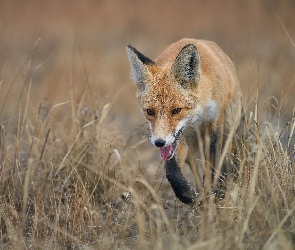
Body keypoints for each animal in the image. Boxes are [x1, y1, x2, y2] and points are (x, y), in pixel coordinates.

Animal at [126, 38, 244, 204]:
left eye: (177, 110)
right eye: (150, 112)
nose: (159, 142)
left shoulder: (215, 125)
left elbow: (214, 164)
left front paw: (215, 192)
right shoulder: (178, 140)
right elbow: (171, 171)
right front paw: (188, 194)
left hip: (230, 129)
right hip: (190, 148)